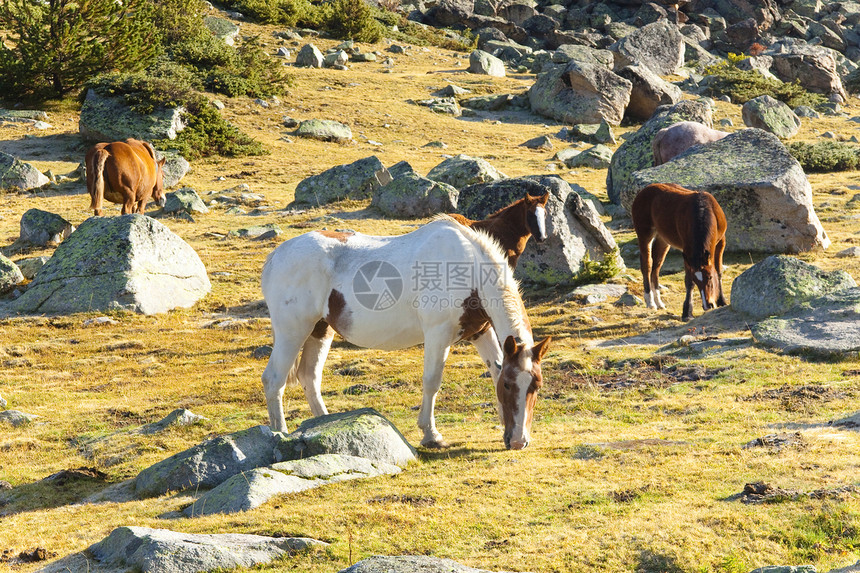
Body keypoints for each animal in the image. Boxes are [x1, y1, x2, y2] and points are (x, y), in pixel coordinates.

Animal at [258, 217, 552, 450]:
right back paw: (280, 435)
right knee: (274, 380)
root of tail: (277, 255)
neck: (469, 272)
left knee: (310, 377)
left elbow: (494, 371)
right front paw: (431, 435)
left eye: (536, 385)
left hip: (319, 330)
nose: (518, 442)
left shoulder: (481, 333)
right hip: (292, 332)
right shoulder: (438, 335)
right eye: (509, 386)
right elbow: (432, 382)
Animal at [632, 182, 724, 322]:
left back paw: (659, 302)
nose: (708, 305)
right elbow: (688, 282)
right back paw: (651, 302)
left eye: (709, 277)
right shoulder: (687, 251)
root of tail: (643, 191)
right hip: (644, 234)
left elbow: (718, 271)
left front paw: (722, 302)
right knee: (647, 265)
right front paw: (687, 313)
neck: (704, 211)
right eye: (697, 281)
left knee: (656, 268)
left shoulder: (721, 242)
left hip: (663, 240)